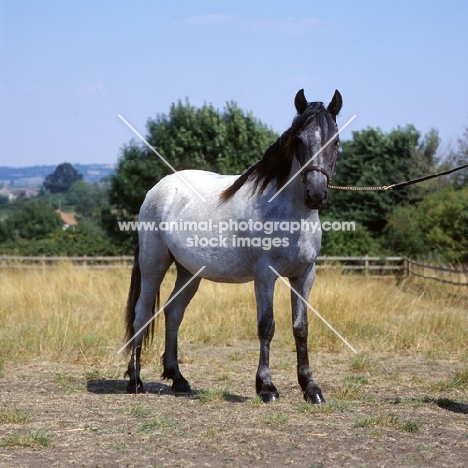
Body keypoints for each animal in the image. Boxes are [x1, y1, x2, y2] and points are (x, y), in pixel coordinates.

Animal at [124, 89, 344, 404]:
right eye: (300, 140)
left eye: (335, 141)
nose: (315, 193)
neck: (290, 214)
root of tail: (158, 189)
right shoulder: (265, 274)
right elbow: (266, 325)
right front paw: (266, 387)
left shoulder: (304, 275)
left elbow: (301, 328)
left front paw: (311, 388)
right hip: (154, 263)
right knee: (142, 315)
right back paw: (135, 380)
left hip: (189, 272)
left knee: (173, 312)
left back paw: (178, 379)